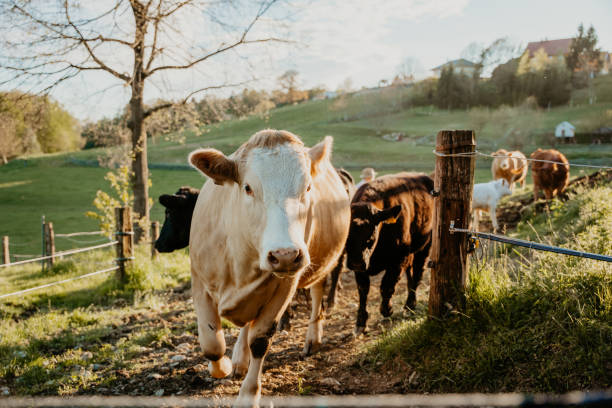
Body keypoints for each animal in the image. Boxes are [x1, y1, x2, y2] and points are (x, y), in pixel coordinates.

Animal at [188, 130, 350, 404]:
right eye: (248, 188)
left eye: (308, 187)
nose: (285, 255)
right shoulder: (199, 282)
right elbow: (212, 344)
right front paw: (223, 367)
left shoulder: (284, 287)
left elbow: (260, 340)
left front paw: (248, 396)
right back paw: (238, 359)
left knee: (317, 295)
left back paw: (312, 338)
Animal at [344, 172, 436, 334]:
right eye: (346, 237)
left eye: (371, 237)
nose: (355, 263)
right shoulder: (361, 268)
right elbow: (363, 290)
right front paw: (361, 321)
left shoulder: (398, 259)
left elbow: (387, 285)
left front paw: (387, 310)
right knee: (411, 275)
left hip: (424, 248)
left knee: (418, 273)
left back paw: (410, 305)